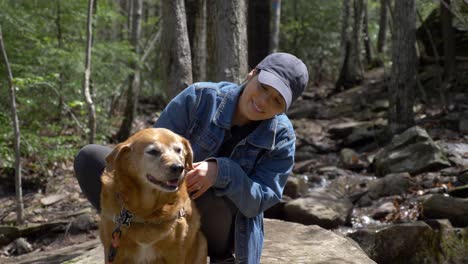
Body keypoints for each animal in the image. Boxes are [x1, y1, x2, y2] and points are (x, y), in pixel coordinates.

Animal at [98, 127, 207, 262]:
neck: (146, 213)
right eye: (153, 151)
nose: (178, 167)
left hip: (202, 243)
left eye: (178, 150)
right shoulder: (114, 251)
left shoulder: (176, 253)